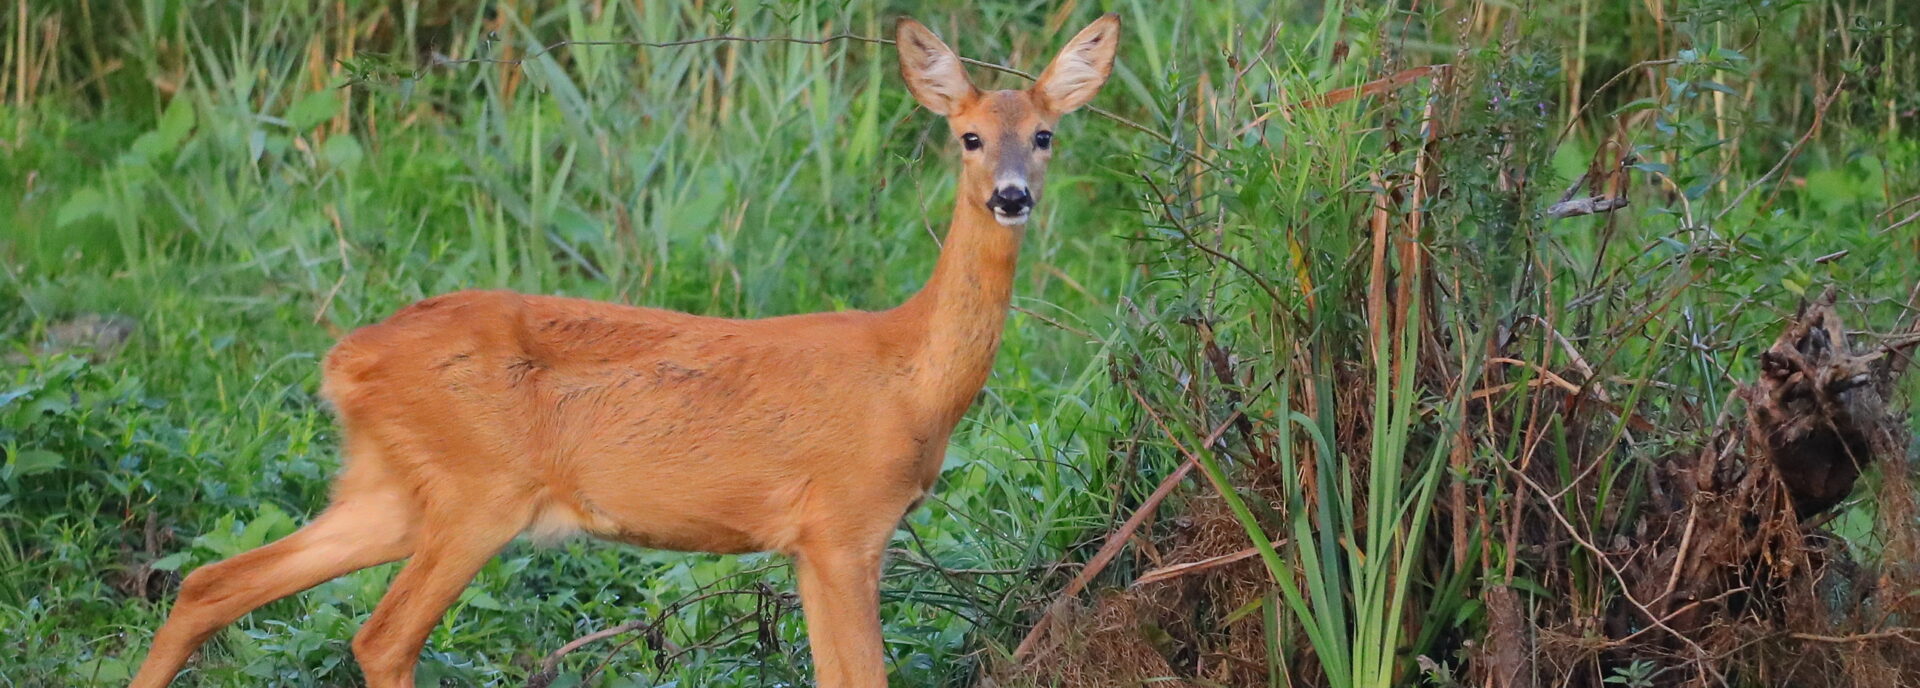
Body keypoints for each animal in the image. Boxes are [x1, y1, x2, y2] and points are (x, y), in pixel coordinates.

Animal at [128, 13, 1119, 688]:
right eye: (968, 136)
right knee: (379, 635)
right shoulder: (841, 523)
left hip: (391, 488)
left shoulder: (817, 543)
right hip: (478, 488)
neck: (909, 373)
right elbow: (860, 677)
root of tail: (344, 361)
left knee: (210, 582)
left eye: (1044, 134)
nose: (1011, 196)